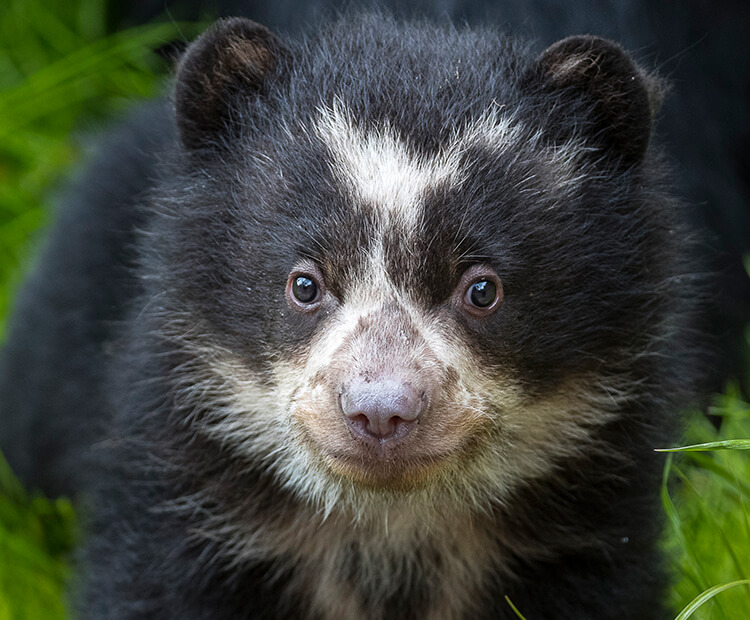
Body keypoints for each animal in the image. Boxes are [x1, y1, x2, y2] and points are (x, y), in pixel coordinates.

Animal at [0, 14, 704, 620]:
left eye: (482, 289)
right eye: (304, 284)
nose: (381, 412)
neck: (388, 530)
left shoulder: (585, 525)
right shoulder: (187, 491)